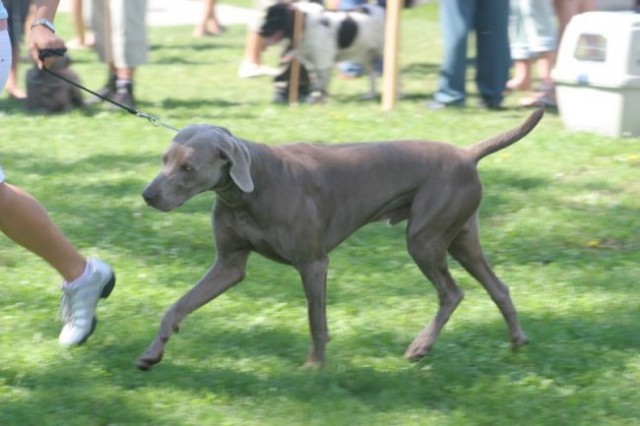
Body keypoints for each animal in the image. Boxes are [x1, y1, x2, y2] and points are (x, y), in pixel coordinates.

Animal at [136, 109, 544, 370]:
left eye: (188, 168)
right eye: (163, 159)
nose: (148, 195)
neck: (248, 191)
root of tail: (466, 153)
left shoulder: (313, 263)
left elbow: (315, 319)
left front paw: (314, 365)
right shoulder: (229, 265)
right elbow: (177, 306)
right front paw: (152, 353)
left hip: (424, 239)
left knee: (452, 292)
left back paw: (420, 347)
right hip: (460, 238)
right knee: (499, 287)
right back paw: (517, 341)